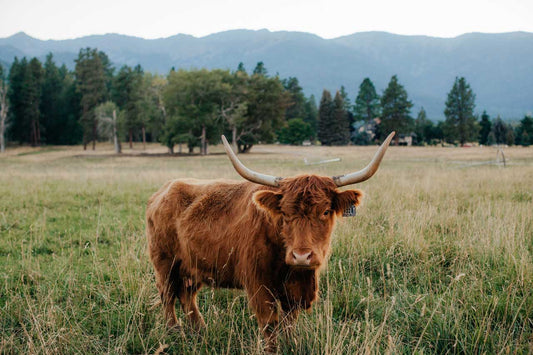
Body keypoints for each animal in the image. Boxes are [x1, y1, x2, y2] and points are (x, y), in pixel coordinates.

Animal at [145, 132, 394, 352]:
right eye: (284, 212)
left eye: (325, 211)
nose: (301, 256)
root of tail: (162, 191)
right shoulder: (259, 286)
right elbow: (270, 326)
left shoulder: (294, 291)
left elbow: (289, 323)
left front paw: (292, 345)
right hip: (165, 263)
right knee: (167, 294)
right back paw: (173, 331)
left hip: (193, 267)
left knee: (187, 296)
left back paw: (200, 331)